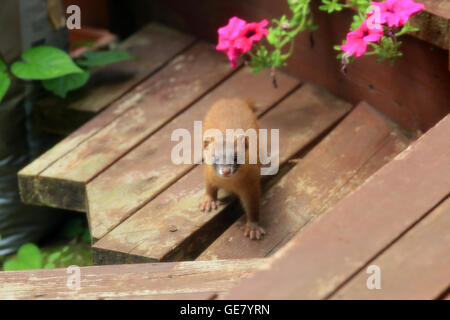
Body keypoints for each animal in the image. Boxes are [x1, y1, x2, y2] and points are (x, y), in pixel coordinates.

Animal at [199, 97, 266, 240]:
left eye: (235, 157)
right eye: (215, 156)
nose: (225, 171)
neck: (230, 184)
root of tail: (231, 99)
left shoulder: (251, 185)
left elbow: (253, 206)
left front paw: (253, 228)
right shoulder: (208, 174)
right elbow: (209, 187)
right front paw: (209, 202)